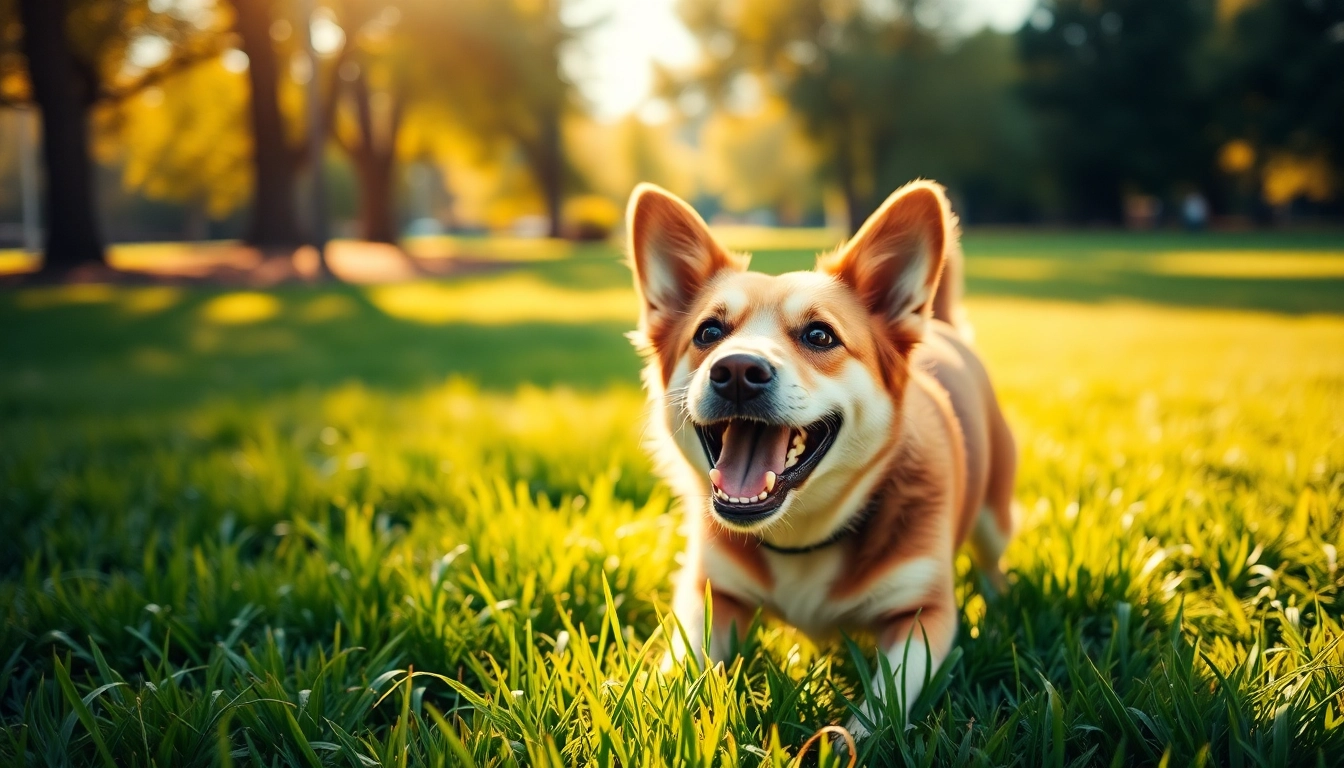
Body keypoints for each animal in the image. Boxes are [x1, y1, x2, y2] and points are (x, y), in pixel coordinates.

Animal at [628, 180, 1016, 737]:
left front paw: (847, 740)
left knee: (992, 559)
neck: (802, 535)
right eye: (708, 333)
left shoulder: (923, 615)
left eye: (819, 335)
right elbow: (681, 664)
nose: (737, 370)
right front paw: (656, 708)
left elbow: (885, 699)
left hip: (995, 515)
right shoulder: (710, 591)